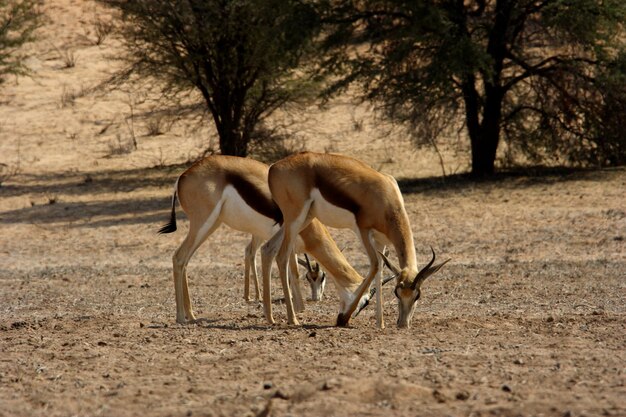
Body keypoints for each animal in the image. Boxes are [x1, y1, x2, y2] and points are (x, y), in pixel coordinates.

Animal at [157, 154, 376, 324]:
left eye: (322, 278)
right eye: (366, 301)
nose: (344, 318)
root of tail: (182, 176)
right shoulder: (290, 244)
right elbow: (292, 273)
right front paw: (296, 310)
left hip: (211, 225)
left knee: (185, 260)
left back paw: (192, 315)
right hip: (203, 223)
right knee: (179, 257)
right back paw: (180, 317)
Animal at [260, 151, 448, 326]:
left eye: (417, 295)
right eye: (397, 292)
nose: (403, 324)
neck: (386, 198)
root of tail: (274, 167)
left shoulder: (381, 241)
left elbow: (380, 273)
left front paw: (380, 324)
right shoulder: (363, 231)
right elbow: (375, 266)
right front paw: (343, 318)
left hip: (304, 219)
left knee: (268, 248)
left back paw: (270, 318)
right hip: (295, 219)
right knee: (282, 256)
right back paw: (293, 319)